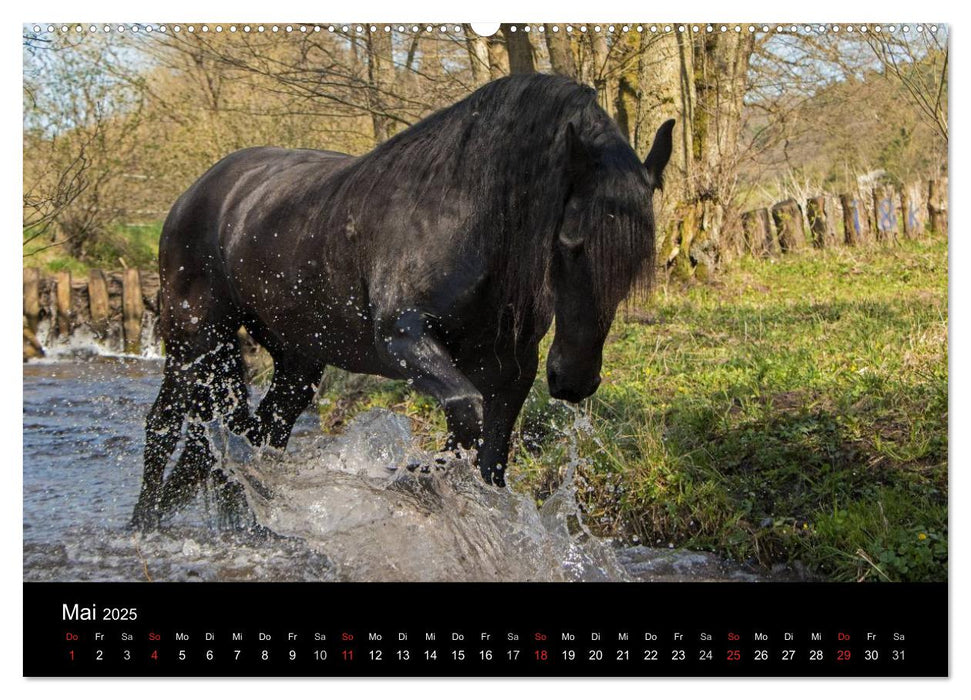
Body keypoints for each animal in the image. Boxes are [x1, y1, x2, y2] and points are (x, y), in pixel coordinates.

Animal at [133, 74, 672, 528]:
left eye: (635, 262)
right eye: (569, 241)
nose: (575, 380)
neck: (466, 215)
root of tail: (199, 191)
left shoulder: (510, 369)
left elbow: (488, 458)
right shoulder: (404, 339)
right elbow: (466, 413)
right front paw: (417, 482)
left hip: (296, 360)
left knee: (260, 436)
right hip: (195, 343)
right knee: (164, 426)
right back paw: (144, 526)